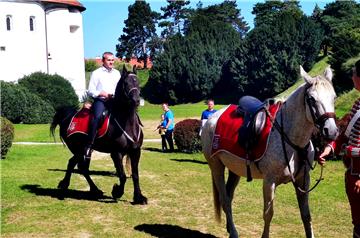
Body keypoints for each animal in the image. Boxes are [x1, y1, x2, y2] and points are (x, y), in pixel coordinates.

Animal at [50, 65, 147, 205]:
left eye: (138, 82)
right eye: (126, 83)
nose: (136, 101)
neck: (126, 124)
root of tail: (67, 117)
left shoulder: (135, 151)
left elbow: (135, 175)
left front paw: (139, 197)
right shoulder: (116, 153)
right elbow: (122, 176)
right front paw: (117, 192)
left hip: (85, 150)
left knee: (77, 165)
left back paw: (88, 189)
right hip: (80, 149)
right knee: (77, 165)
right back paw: (79, 187)